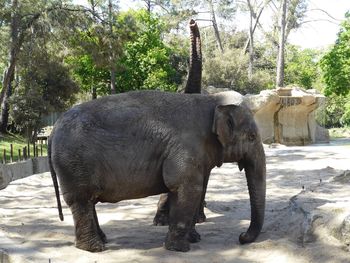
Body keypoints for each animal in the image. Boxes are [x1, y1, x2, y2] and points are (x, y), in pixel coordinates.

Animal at [49, 90, 266, 254]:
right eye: (252, 137)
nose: (241, 237)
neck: (212, 101)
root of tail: (53, 130)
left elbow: (191, 189)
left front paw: (195, 239)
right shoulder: (185, 148)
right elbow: (189, 188)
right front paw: (180, 249)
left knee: (89, 200)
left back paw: (101, 240)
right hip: (73, 162)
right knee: (82, 200)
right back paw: (95, 248)